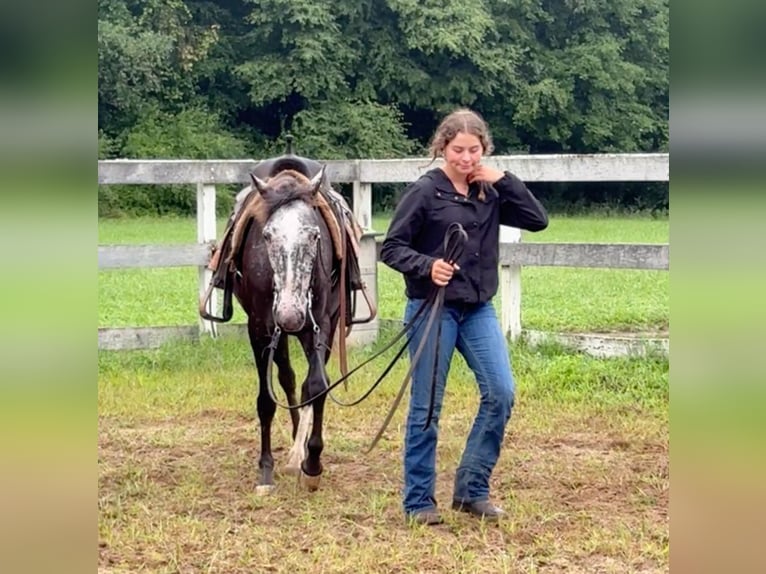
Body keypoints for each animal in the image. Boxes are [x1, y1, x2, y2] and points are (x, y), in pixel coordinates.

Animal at [234, 163, 342, 496]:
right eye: (267, 235)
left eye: (314, 235)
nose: (290, 315)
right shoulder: (260, 329)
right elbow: (266, 399)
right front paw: (266, 470)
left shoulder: (322, 324)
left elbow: (318, 385)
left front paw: (312, 464)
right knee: (287, 378)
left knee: (303, 384)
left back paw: (300, 450)